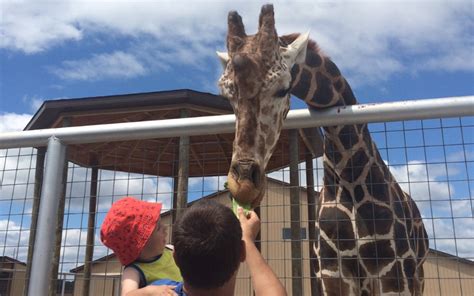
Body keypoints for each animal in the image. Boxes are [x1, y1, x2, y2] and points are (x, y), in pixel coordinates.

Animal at [218, 4, 430, 296]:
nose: (244, 186)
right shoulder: (332, 273)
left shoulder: (395, 273)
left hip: (417, 275)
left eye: (283, 88)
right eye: (226, 93)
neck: (348, 176)